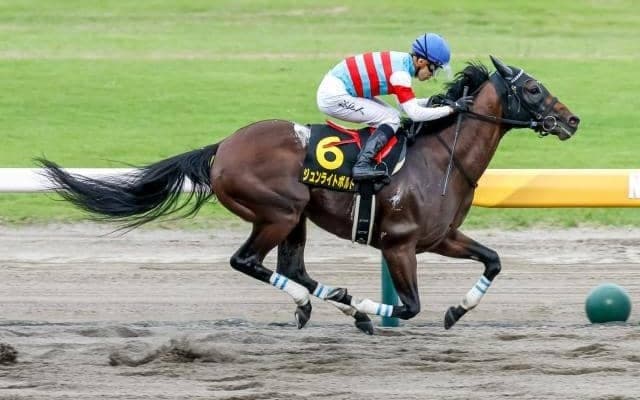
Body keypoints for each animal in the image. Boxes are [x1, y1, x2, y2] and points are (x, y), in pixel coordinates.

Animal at [37, 56, 580, 334]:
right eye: (533, 89)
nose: (572, 120)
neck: (440, 157)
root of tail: (222, 148)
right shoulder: (399, 244)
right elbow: (408, 307)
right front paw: (368, 310)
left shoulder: (440, 237)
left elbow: (493, 261)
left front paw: (455, 311)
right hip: (279, 211)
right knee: (249, 262)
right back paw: (326, 305)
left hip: (295, 217)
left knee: (292, 268)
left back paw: (331, 303)